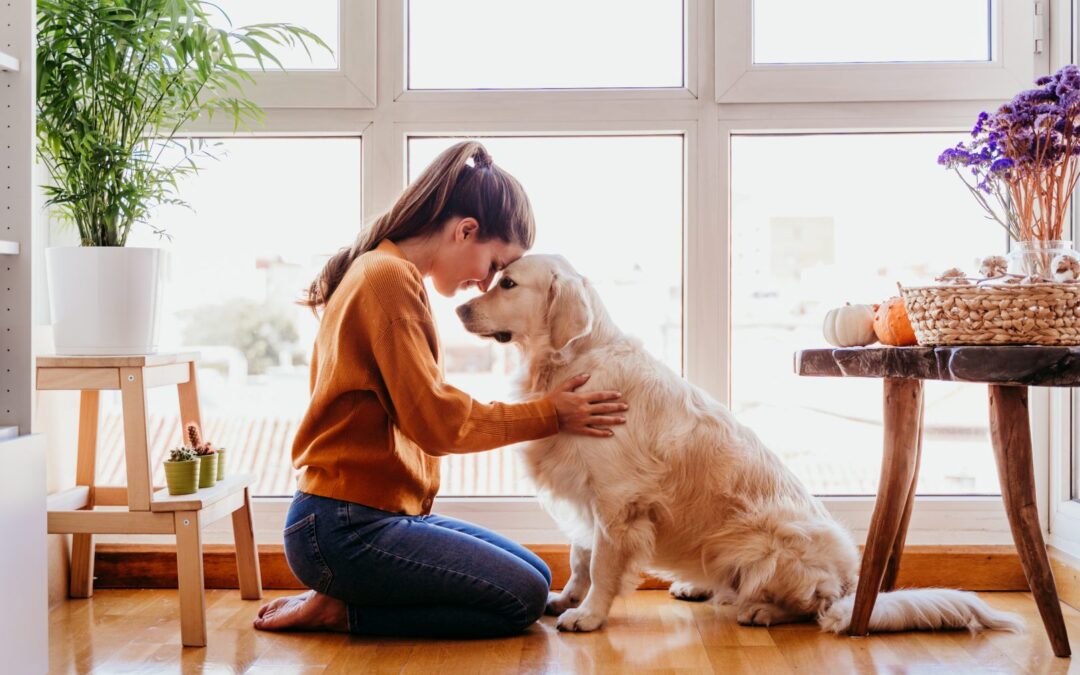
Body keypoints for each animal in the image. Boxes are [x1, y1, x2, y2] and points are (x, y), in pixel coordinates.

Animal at [453, 254, 1019, 635]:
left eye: (507, 283)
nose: (458, 309)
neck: (571, 362)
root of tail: (850, 584)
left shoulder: (616, 501)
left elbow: (604, 565)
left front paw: (588, 614)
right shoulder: (585, 493)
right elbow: (579, 555)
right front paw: (565, 598)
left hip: (766, 541)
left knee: (810, 607)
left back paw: (760, 609)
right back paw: (698, 585)